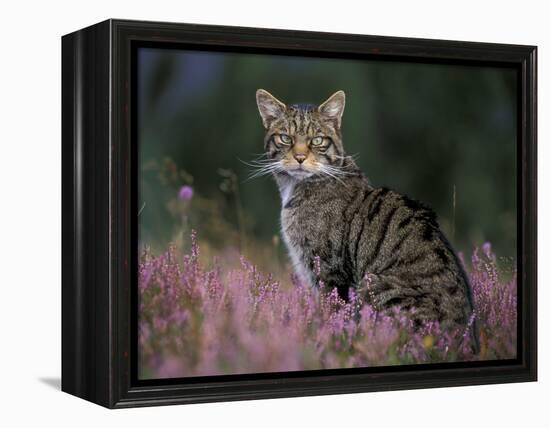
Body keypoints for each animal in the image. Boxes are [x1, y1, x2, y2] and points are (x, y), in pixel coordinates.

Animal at [256, 88, 480, 350]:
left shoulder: (330, 274)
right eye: (285, 138)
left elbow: (332, 316)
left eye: (317, 140)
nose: (300, 157)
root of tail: (462, 343)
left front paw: (326, 342)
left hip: (373, 284)